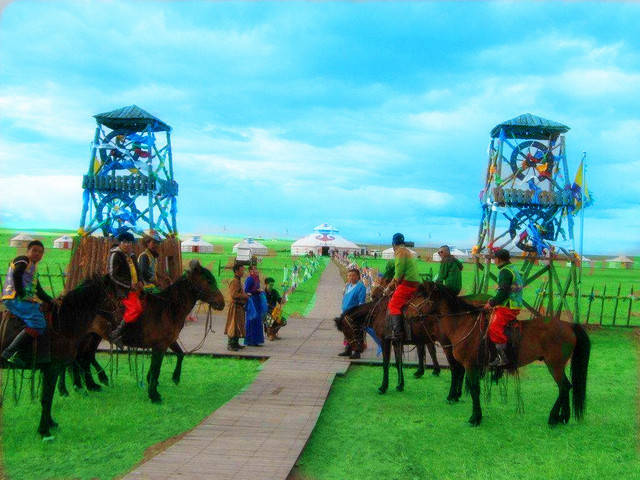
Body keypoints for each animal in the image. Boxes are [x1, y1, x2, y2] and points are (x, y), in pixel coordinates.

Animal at [404, 284, 592, 426]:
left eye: (421, 295)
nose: (405, 310)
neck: (463, 324)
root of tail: (568, 325)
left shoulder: (470, 366)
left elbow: (474, 389)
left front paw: (475, 418)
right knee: (566, 387)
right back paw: (563, 417)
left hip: (555, 365)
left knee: (564, 387)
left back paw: (554, 418)